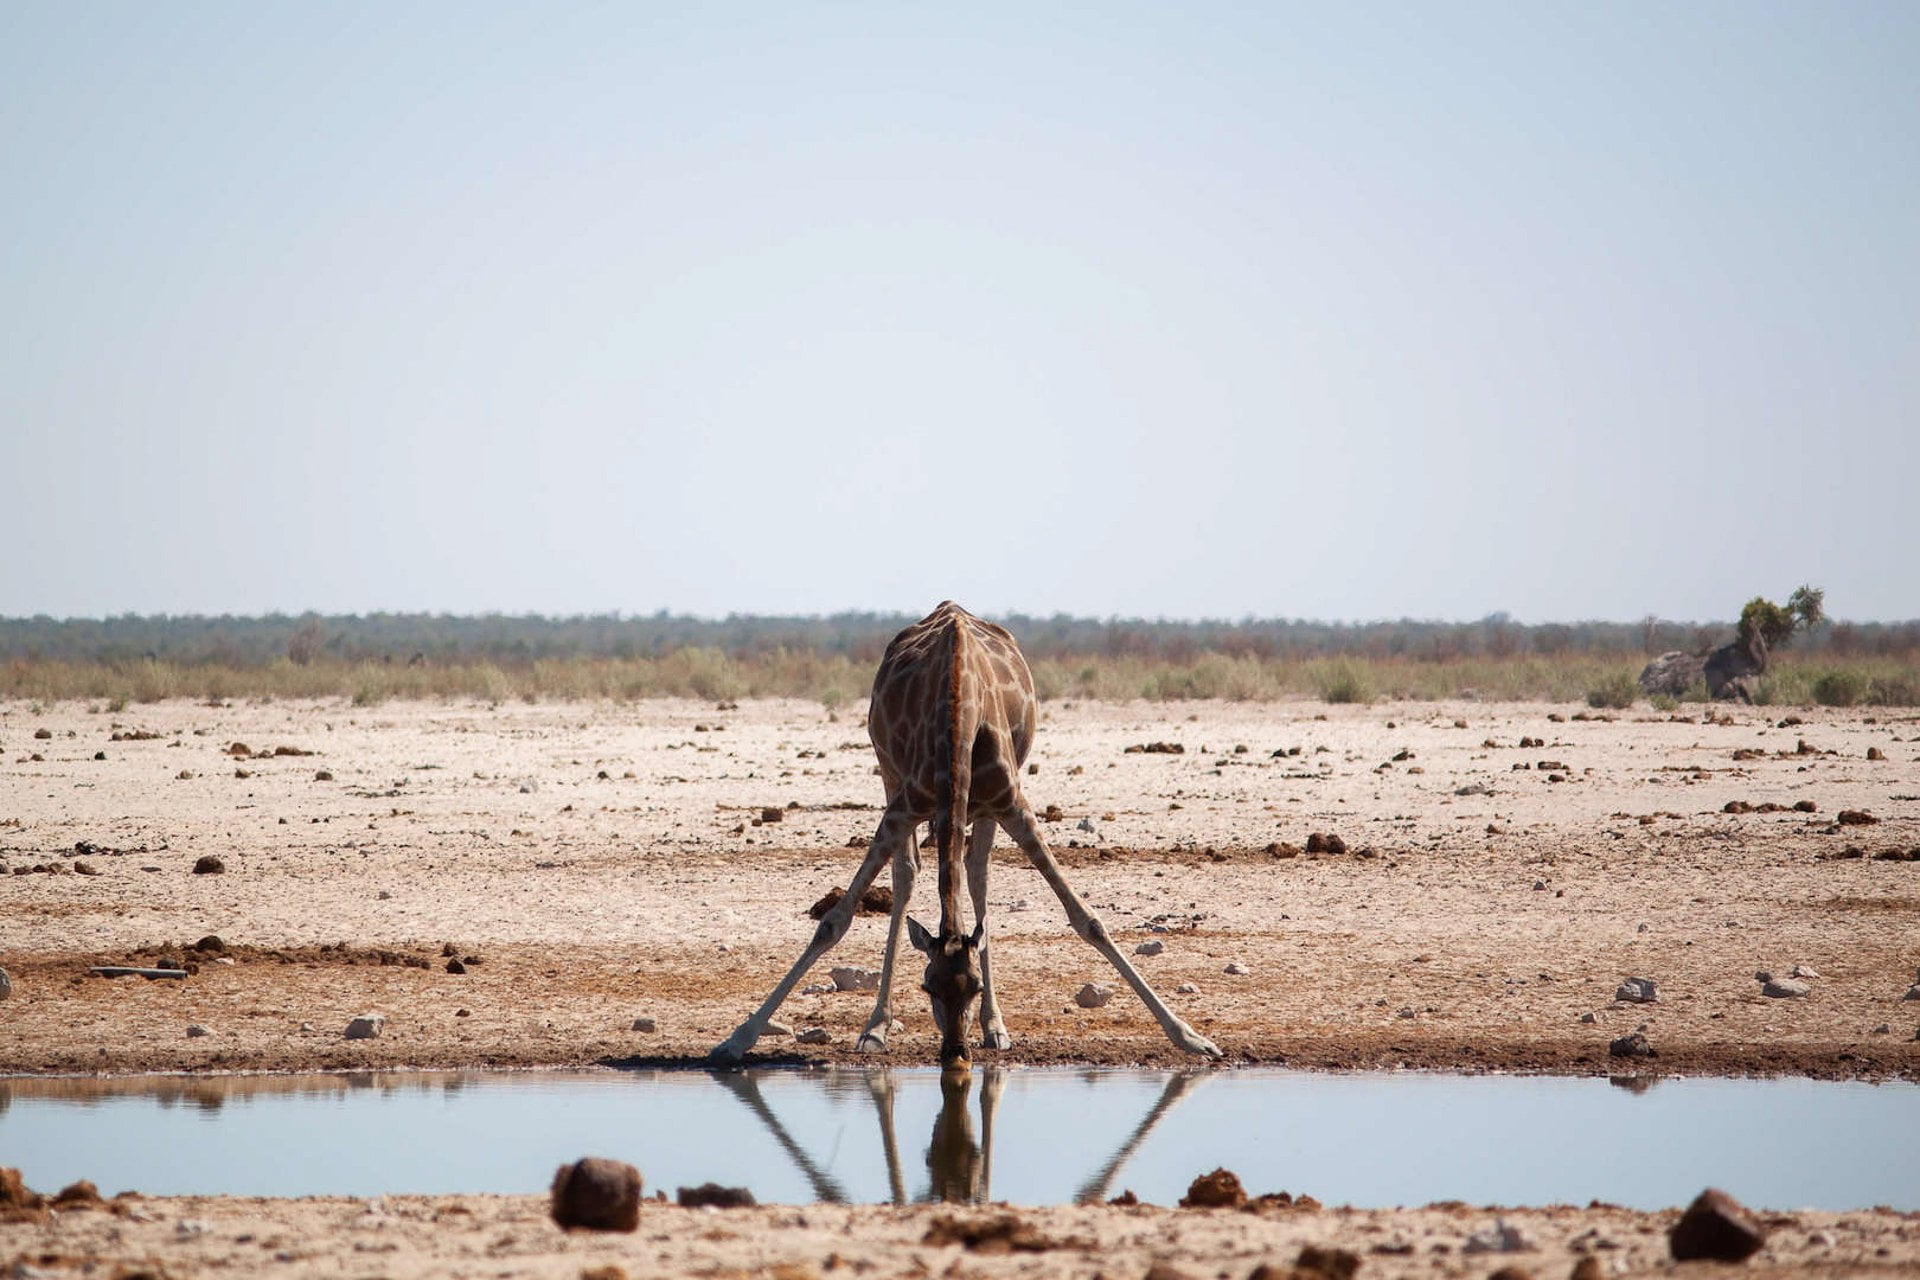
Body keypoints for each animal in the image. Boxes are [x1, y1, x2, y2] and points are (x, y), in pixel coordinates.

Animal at [714, 606, 1221, 1066]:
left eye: (973, 986)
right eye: (927, 986)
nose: (955, 1052)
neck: (958, 711)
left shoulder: (1012, 800)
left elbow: (1086, 919)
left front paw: (1192, 1038)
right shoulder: (905, 804)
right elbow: (833, 922)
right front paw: (737, 1039)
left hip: (990, 802)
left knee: (977, 875)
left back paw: (995, 1027)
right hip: (891, 775)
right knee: (908, 875)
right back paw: (877, 1026)